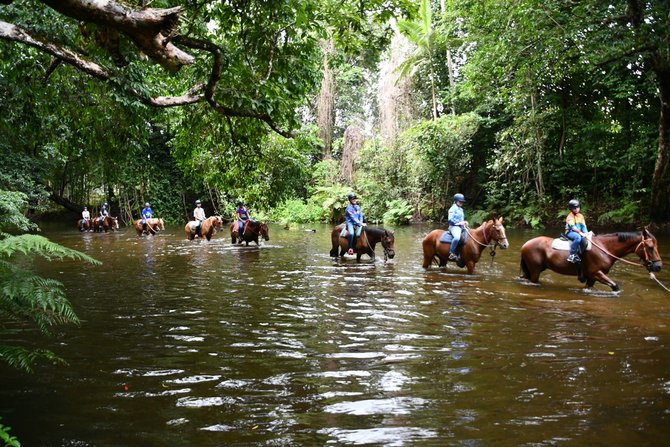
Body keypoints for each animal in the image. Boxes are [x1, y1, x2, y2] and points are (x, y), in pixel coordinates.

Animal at [524, 229, 664, 292]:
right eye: (650, 247)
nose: (658, 266)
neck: (605, 248)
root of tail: (526, 244)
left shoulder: (592, 277)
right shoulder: (596, 273)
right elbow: (615, 286)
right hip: (535, 270)